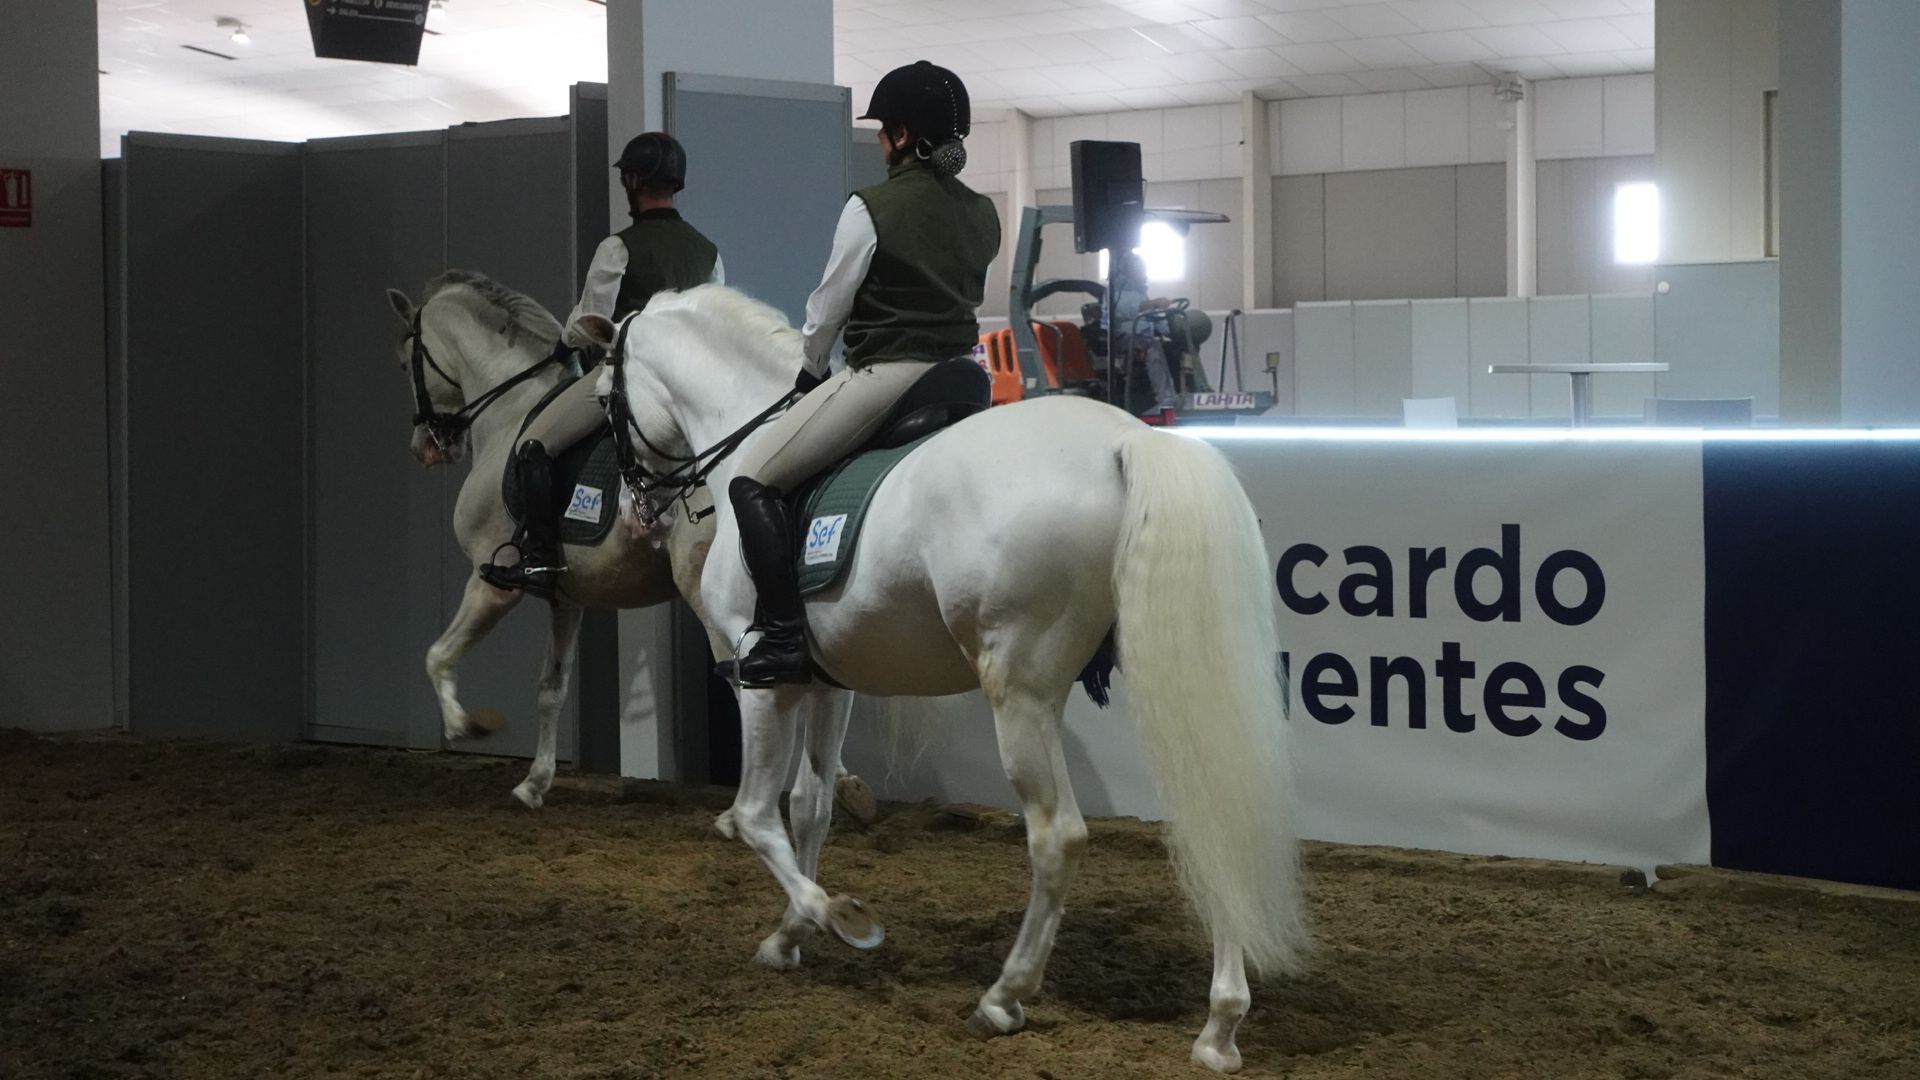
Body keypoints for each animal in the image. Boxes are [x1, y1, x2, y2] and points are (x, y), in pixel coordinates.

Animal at [376, 272, 706, 803]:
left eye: (407, 364)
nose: (423, 448)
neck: (511, 412)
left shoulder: (490, 583)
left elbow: (437, 656)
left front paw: (466, 726)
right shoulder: (565, 596)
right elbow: (551, 688)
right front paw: (535, 782)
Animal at [579, 284, 1305, 1068]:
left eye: (606, 400)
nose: (638, 510)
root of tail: (1126, 439)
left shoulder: (761, 681)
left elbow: (752, 815)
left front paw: (840, 916)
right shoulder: (829, 682)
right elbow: (810, 806)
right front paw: (790, 935)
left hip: (1019, 692)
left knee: (1059, 837)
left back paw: (1003, 997)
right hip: (1161, 672)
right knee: (1211, 809)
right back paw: (1219, 1027)